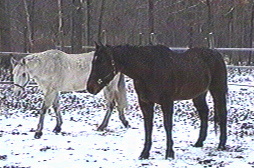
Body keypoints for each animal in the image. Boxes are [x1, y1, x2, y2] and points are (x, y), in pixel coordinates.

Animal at [87, 43, 228, 159]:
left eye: (102, 62)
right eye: (93, 62)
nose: (90, 87)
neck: (149, 70)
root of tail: (216, 54)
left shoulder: (167, 103)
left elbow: (167, 125)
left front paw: (169, 153)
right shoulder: (145, 103)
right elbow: (148, 127)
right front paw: (144, 153)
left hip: (218, 91)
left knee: (222, 114)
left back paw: (221, 145)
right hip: (199, 95)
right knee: (204, 113)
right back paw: (199, 142)